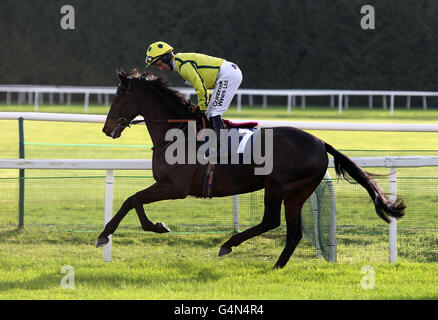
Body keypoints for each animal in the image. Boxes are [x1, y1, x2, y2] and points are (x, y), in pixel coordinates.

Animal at [97, 69, 406, 268]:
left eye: (118, 97)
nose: (107, 129)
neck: (177, 132)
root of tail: (321, 143)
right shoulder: (168, 186)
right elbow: (133, 200)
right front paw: (142, 228)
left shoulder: (175, 187)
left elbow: (132, 199)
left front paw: (118, 232)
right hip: (297, 192)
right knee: (292, 231)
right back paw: (276, 266)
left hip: (279, 186)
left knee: (272, 221)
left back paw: (230, 245)